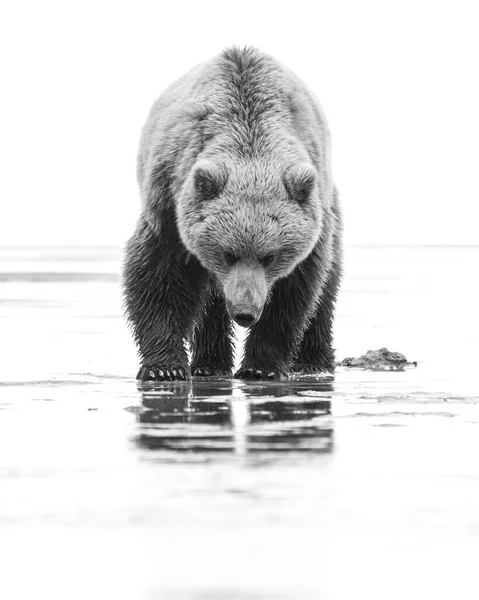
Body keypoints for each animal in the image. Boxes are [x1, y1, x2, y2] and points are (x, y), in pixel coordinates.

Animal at [122, 47, 344, 380]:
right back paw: (209, 363)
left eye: (270, 256)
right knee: (209, 303)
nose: (245, 313)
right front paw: (164, 367)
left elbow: (294, 293)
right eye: (228, 253)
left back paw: (313, 362)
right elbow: (158, 277)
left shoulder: (311, 230)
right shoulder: (169, 202)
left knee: (326, 289)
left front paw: (260, 367)